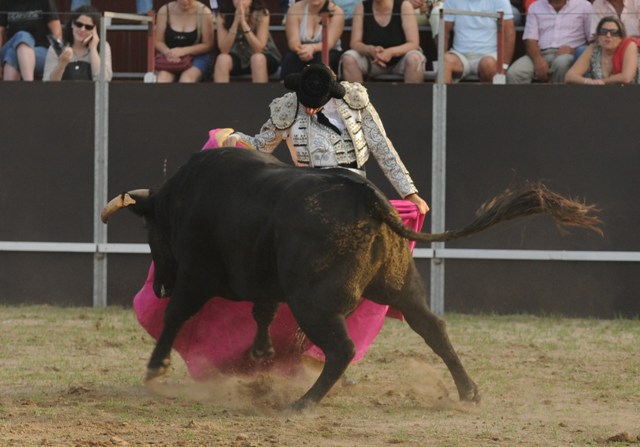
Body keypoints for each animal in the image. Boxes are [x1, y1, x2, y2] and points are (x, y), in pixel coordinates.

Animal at [100, 149, 600, 412]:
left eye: (151, 234)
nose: (159, 286)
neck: (182, 200)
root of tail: (369, 198)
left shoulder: (196, 276)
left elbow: (175, 317)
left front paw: (156, 368)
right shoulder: (265, 277)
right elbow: (263, 310)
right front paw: (260, 353)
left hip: (314, 301)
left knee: (341, 348)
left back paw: (303, 403)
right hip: (400, 286)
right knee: (433, 328)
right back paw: (468, 391)